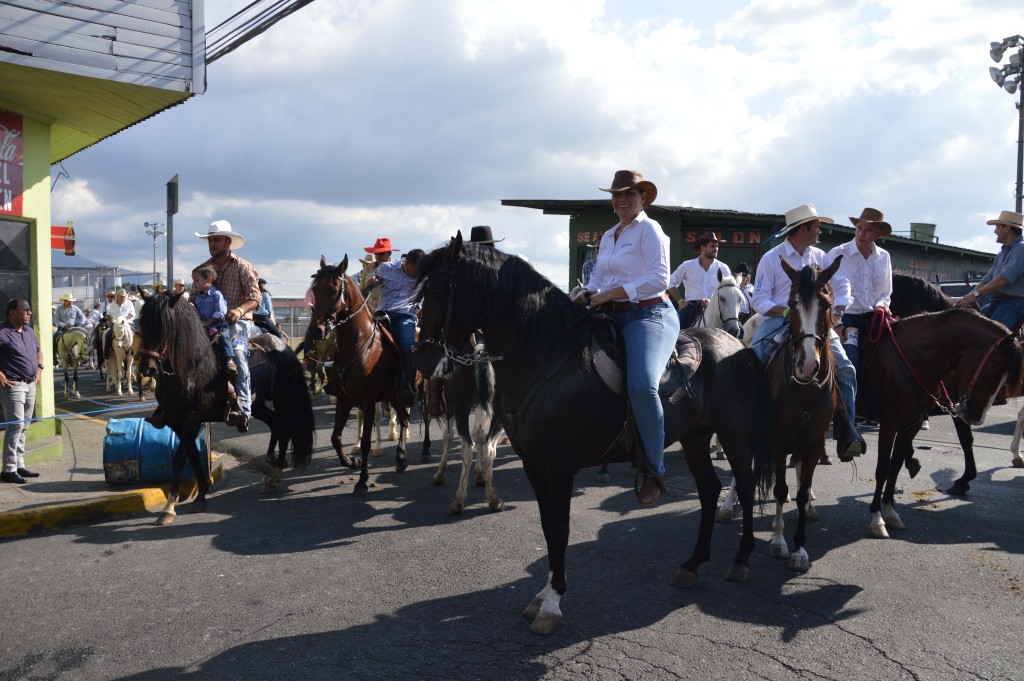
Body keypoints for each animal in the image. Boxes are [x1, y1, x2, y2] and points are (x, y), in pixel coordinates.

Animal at [138, 288, 315, 522]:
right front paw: (201, 494)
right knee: (276, 424)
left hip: (283, 398)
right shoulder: (177, 421)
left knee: (284, 427)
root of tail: (283, 346)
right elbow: (192, 456)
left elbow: (179, 458)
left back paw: (275, 473)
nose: (146, 368)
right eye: (142, 323)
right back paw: (272, 472)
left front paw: (169, 508)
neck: (191, 368)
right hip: (257, 405)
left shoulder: (192, 417)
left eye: (164, 326)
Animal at [307, 251, 411, 491]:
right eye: (314, 289)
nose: (316, 331)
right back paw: (401, 457)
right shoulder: (346, 398)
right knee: (403, 418)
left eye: (333, 289)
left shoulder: (369, 399)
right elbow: (336, 437)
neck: (360, 344)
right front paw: (351, 462)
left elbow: (365, 441)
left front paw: (363, 480)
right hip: (393, 395)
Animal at [411, 235, 770, 639]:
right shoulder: (535, 465)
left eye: (437, 291)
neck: (549, 358)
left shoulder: (560, 467)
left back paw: (741, 559)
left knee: (743, 485)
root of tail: (739, 346)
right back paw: (692, 563)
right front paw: (543, 593)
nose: (422, 361)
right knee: (709, 489)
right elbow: (548, 527)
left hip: (734, 434)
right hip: (695, 437)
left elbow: (562, 529)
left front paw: (552, 603)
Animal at [765, 258, 843, 569]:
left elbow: (800, 490)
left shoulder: (815, 442)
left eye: (826, 304)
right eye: (791, 303)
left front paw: (799, 548)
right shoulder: (776, 440)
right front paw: (778, 541)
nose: (807, 364)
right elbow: (779, 490)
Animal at [856, 307, 1024, 536]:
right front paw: (876, 518)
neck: (913, 359)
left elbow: (895, 466)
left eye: (1005, 380)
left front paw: (890, 511)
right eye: (990, 374)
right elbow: (882, 469)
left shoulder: (912, 424)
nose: (976, 417)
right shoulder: (889, 424)